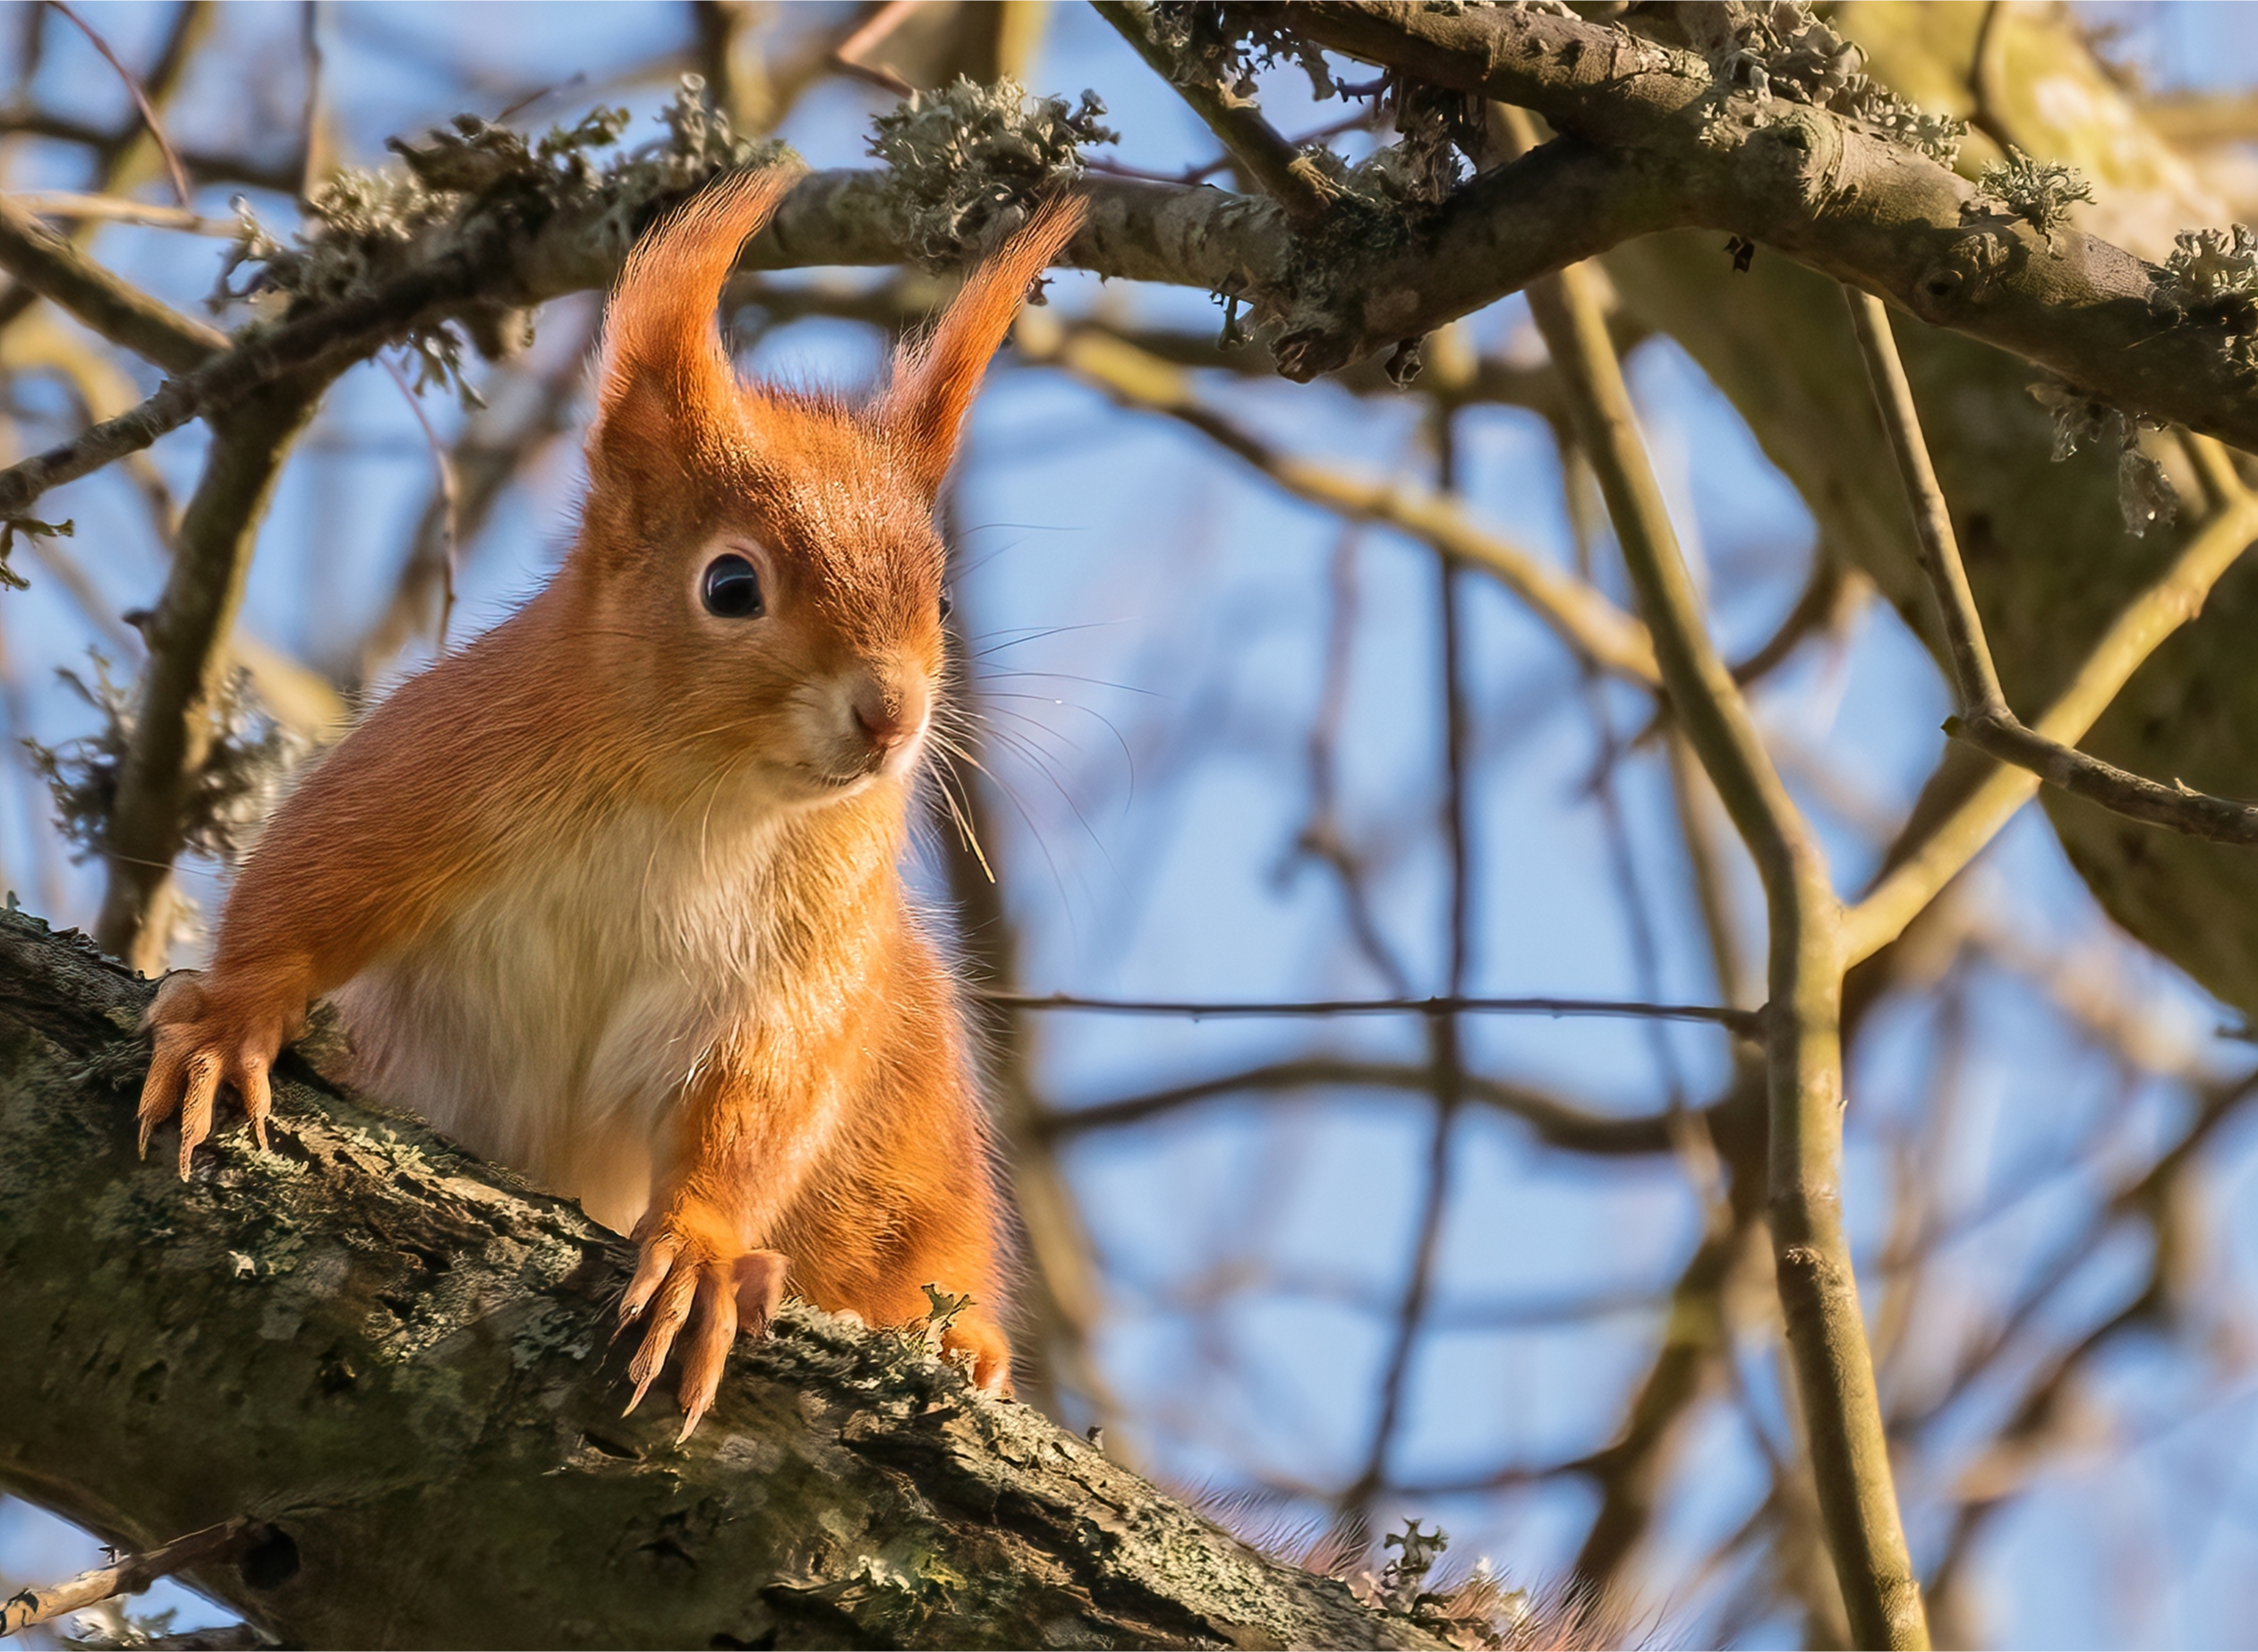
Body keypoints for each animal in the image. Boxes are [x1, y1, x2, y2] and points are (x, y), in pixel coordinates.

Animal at [133, 168, 1085, 1438]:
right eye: (729, 585)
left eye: (937, 594)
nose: (891, 715)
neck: (697, 795)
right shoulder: (423, 770)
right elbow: (307, 881)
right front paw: (226, 1025)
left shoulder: (802, 951)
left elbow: (759, 1101)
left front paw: (700, 1255)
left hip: (911, 1121)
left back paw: (965, 1343)